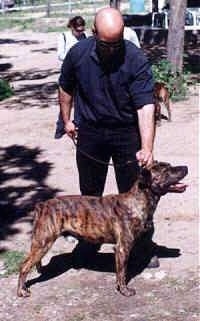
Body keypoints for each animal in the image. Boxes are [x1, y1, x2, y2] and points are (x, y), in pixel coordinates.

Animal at [16, 161, 188, 296]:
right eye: (166, 171)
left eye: (170, 166)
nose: (186, 167)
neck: (138, 200)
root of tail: (42, 205)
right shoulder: (122, 248)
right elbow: (122, 273)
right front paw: (124, 290)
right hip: (43, 243)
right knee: (23, 266)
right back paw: (21, 291)